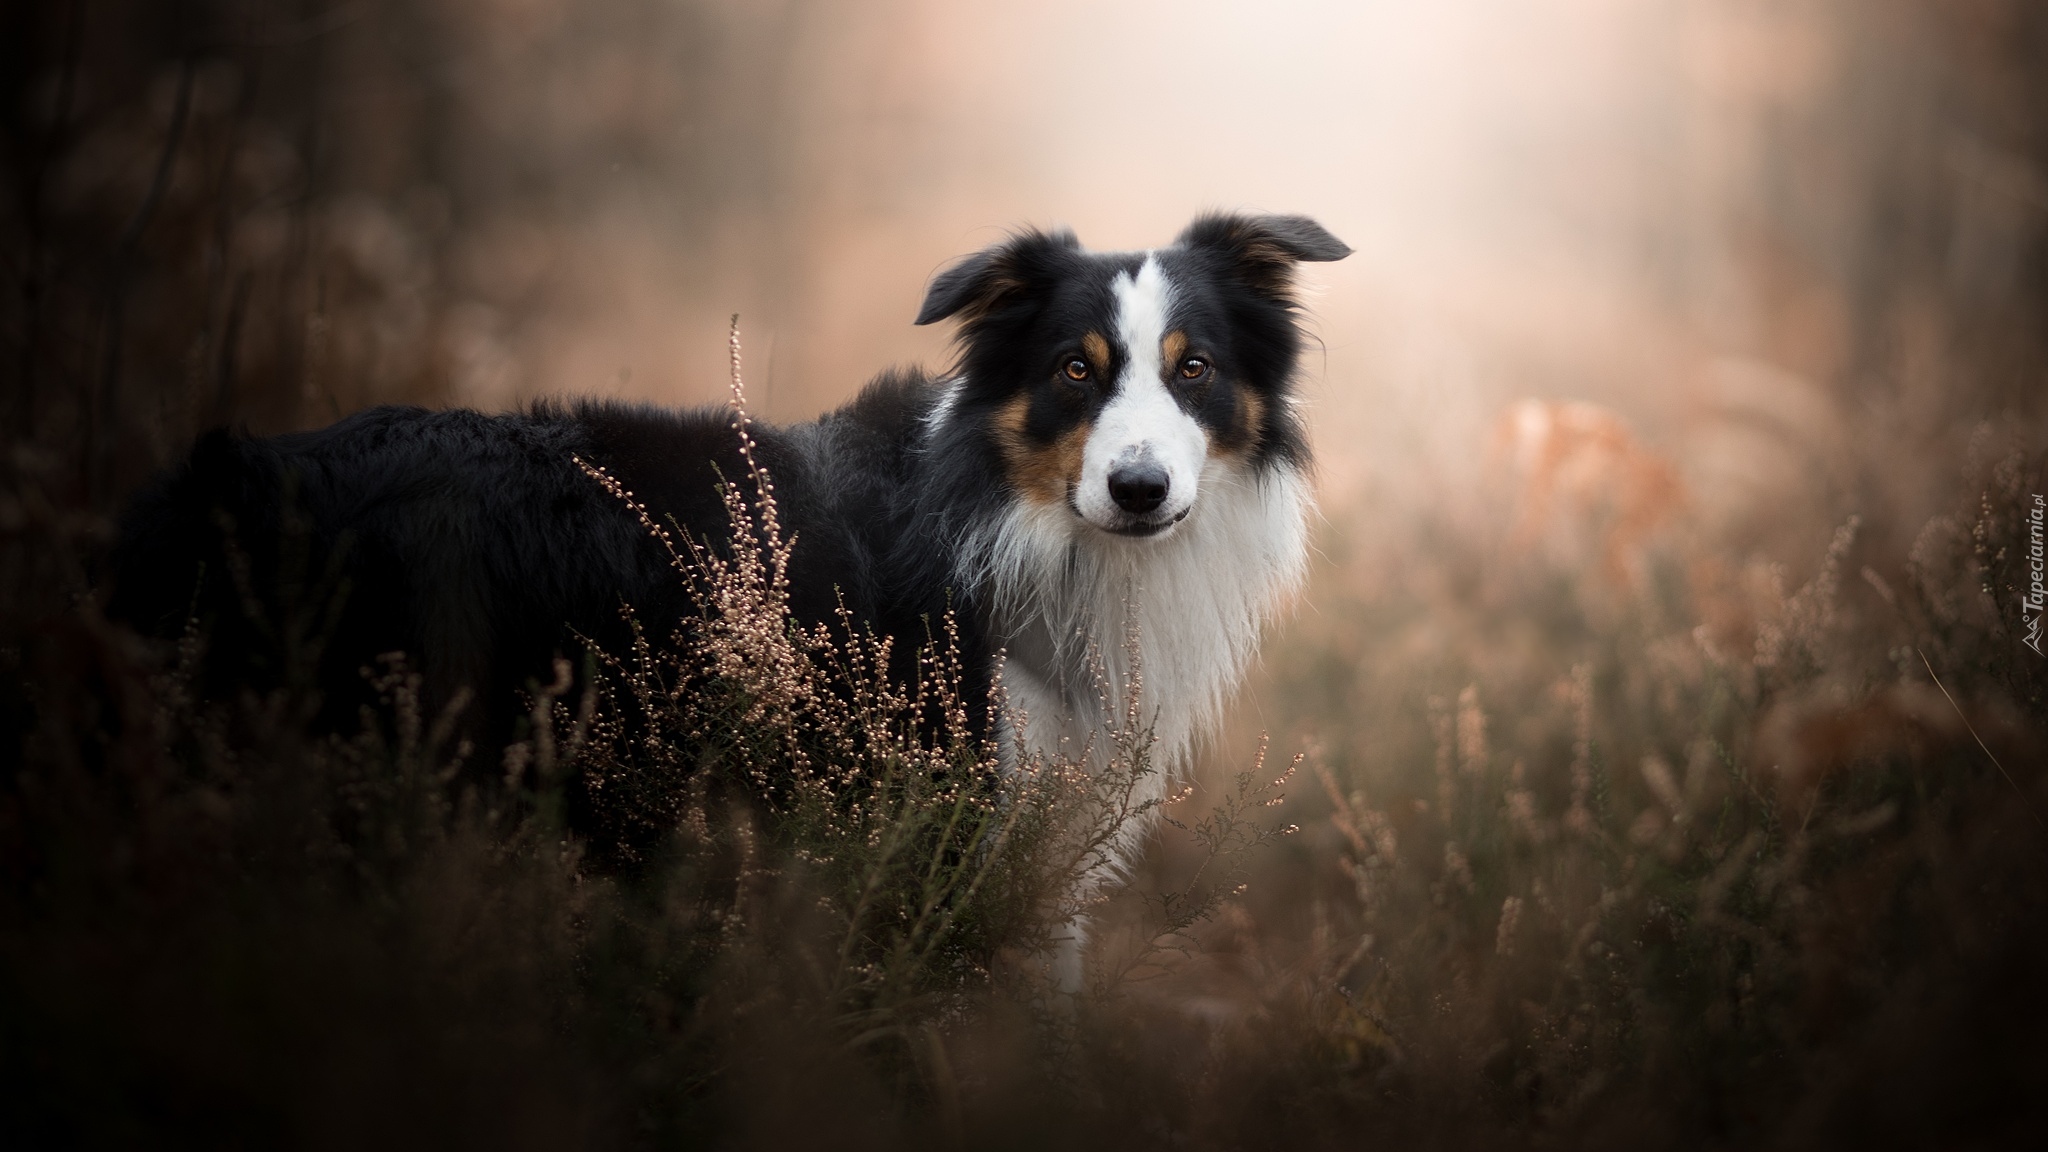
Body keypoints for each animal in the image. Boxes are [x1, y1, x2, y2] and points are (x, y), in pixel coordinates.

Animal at [119, 213, 1351, 942]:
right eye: (1073, 373)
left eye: (1194, 370)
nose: (1138, 489)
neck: (1014, 516)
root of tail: (236, 474)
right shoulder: (941, 820)